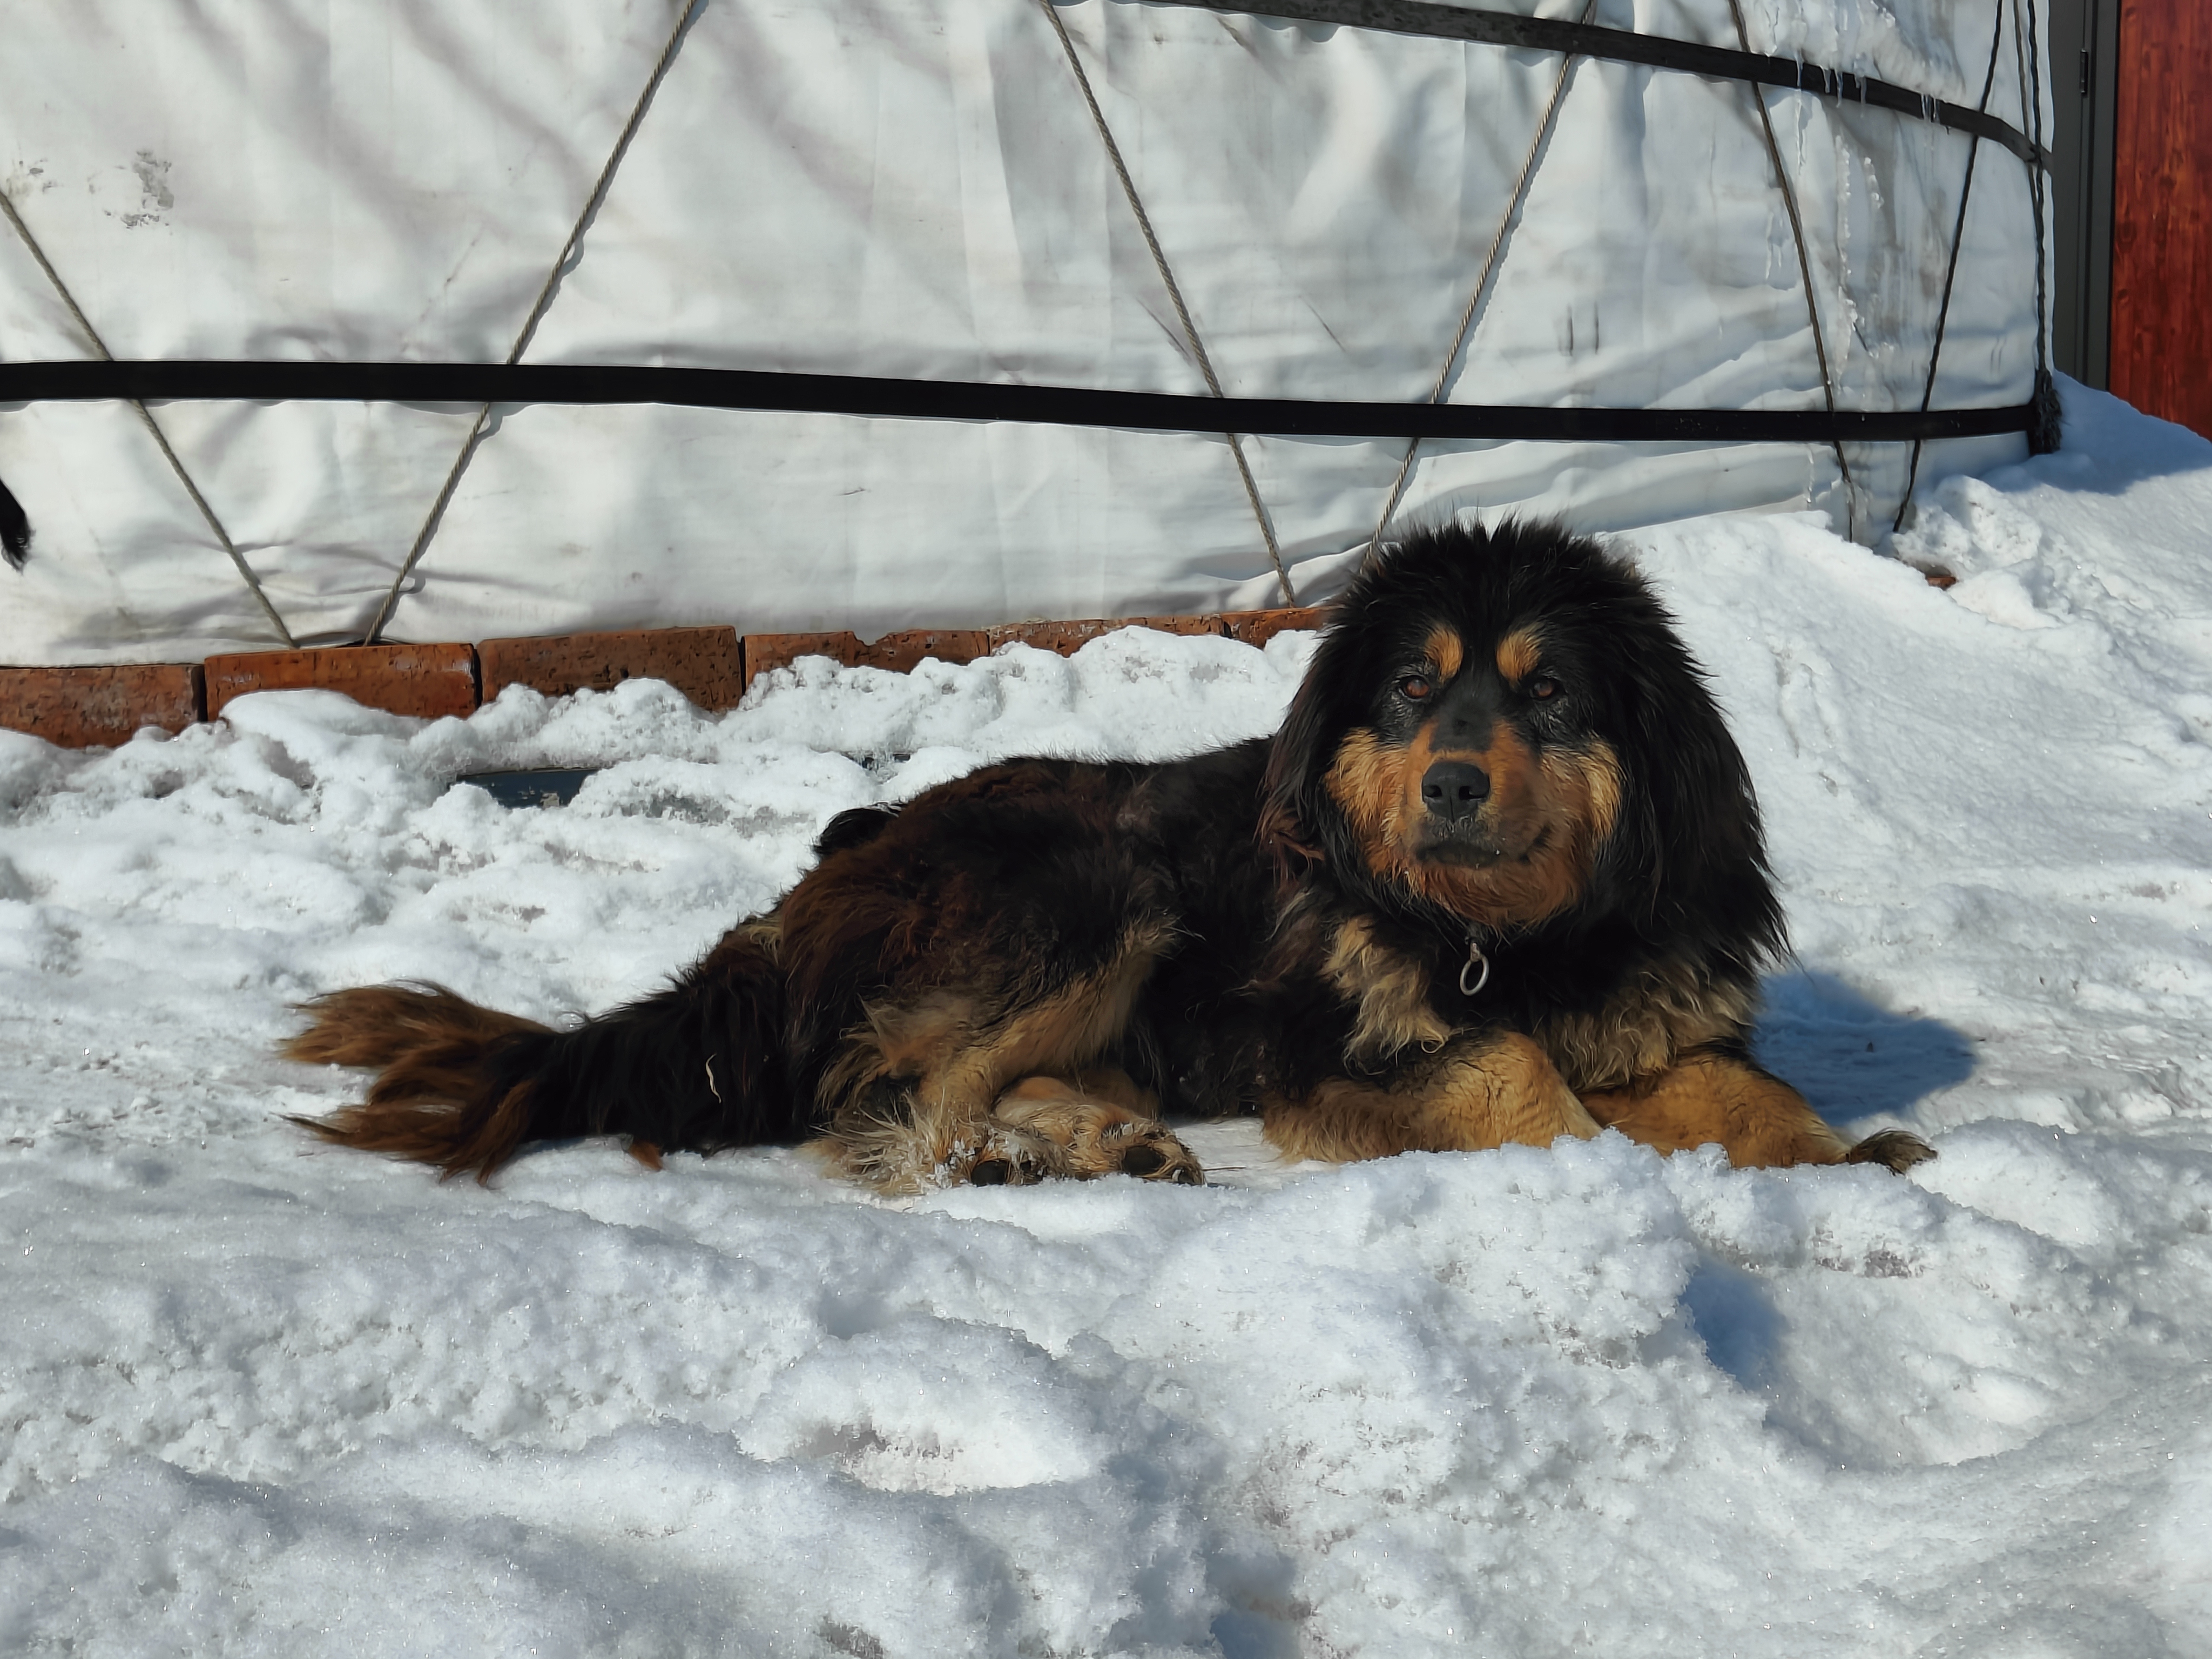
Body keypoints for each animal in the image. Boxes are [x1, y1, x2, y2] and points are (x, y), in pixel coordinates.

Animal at [285, 526, 1928, 1185]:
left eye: (1549, 694)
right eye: (1413, 686)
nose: (1452, 781)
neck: (1520, 936)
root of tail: (808, 892)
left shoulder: (1657, 1005)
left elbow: (1746, 1087)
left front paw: (1840, 1162)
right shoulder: (1326, 1054)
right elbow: (1511, 1069)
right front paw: (1630, 1169)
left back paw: (1100, 1143)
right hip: (1096, 882)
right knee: (897, 1092)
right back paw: (1010, 1162)